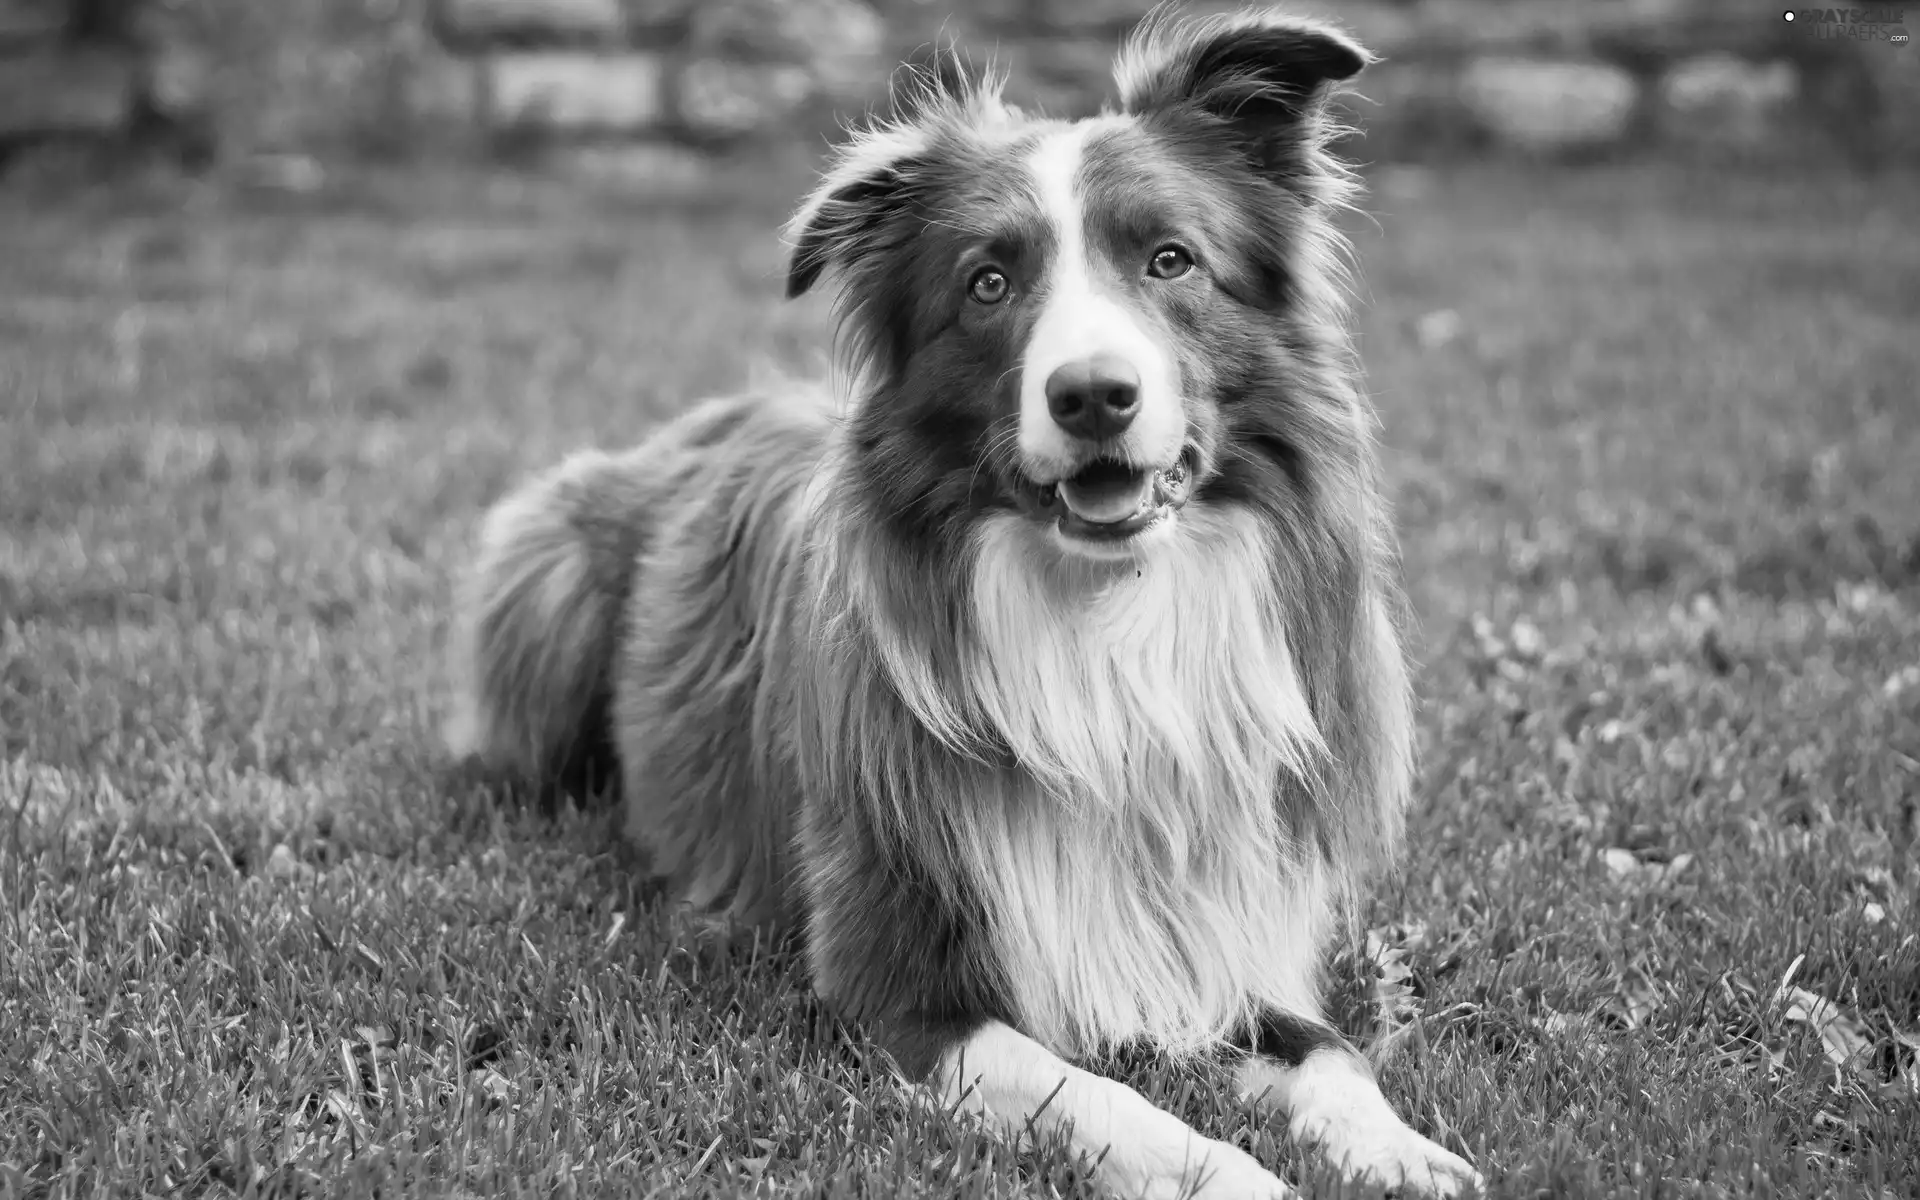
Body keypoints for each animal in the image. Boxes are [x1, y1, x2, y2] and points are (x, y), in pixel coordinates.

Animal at [445, 7, 1482, 1190]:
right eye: (989, 283)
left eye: (1172, 260)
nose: (1093, 394)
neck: (1105, 623)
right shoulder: (901, 988)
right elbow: (1100, 1095)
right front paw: (1225, 1173)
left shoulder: (1233, 937)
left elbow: (1331, 1056)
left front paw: (1402, 1152)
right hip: (548, 581)